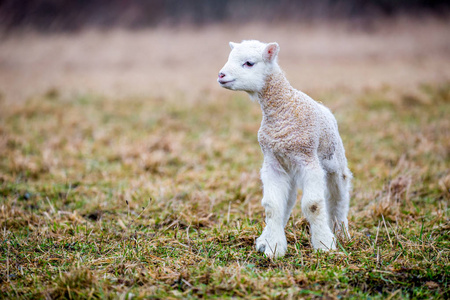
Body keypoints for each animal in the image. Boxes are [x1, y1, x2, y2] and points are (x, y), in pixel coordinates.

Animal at [217, 39, 352, 258]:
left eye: (249, 63)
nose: (221, 75)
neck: (283, 107)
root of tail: (323, 107)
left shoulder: (308, 160)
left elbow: (313, 205)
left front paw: (324, 244)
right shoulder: (272, 162)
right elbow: (273, 206)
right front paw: (273, 246)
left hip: (335, 160)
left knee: (339, 195)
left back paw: (341, 232)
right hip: (289, 169)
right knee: (288, 201)